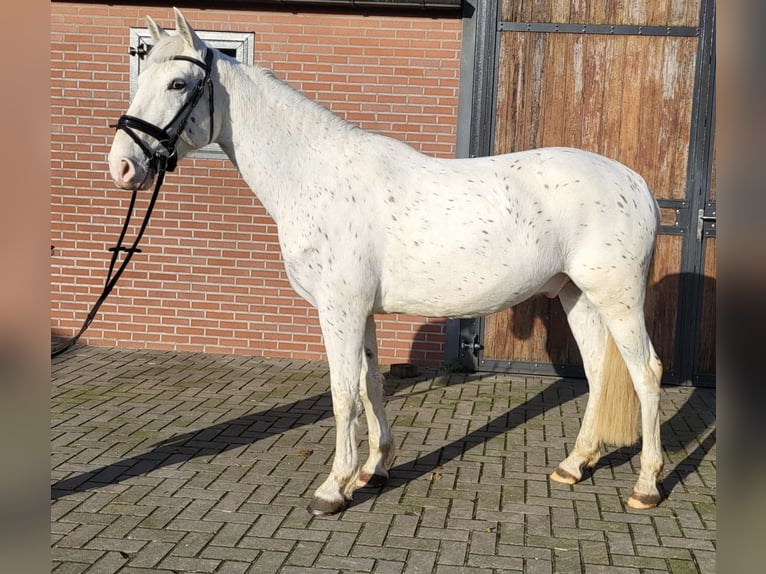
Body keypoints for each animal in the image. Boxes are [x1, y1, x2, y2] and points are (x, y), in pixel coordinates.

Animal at [108, 9, 664, 516]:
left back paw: (646, 487)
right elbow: (370, 384)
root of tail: (635, 183)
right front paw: (374, 469)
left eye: (179, 83)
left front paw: (333, 489)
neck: (315, 174)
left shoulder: (339, 309)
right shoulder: (362, 312)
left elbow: (342, 393)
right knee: (598, 371)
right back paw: (574, 465)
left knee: (646, 373)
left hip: (617, 299)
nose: (122, 167)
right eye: (143, 73)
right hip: (576, 294)